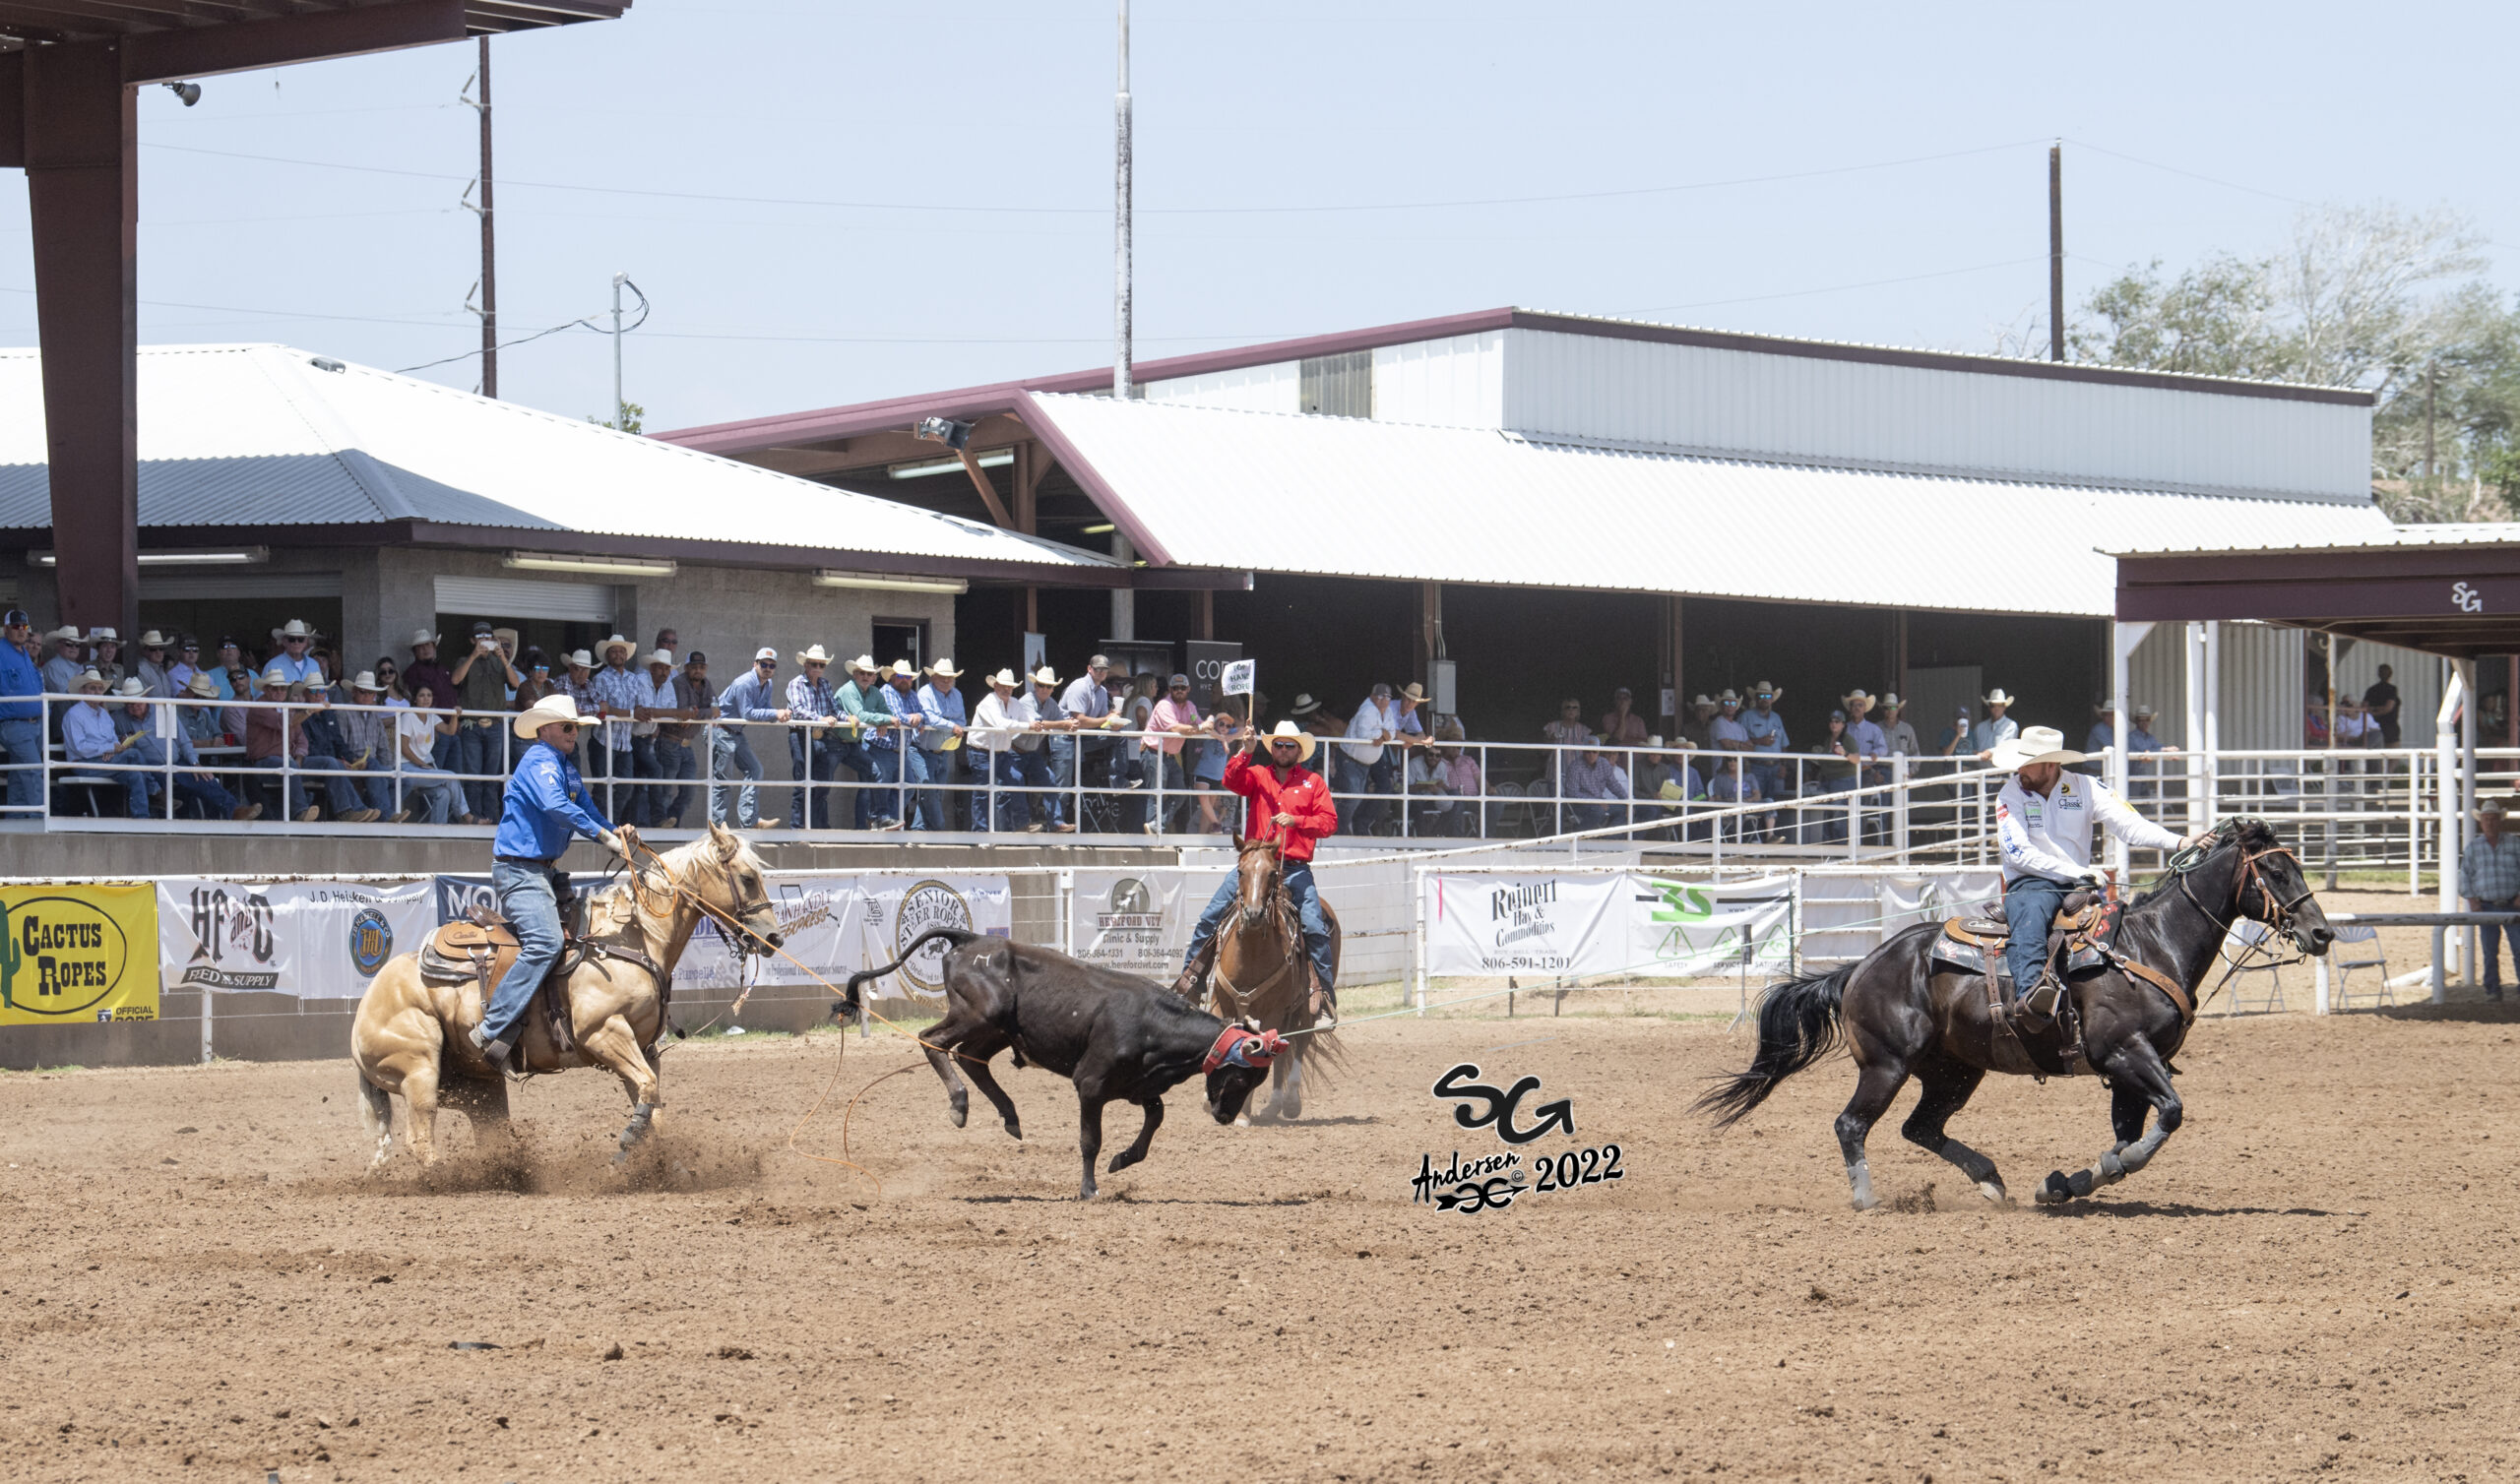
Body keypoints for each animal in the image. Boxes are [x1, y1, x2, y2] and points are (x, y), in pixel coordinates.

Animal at [345, 826, 776, 1163]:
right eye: (747, 877)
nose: (773, 937)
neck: (631, 938)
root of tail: (366, 1006)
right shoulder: (605, 1034)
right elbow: (648, 1093)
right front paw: (626, 1146)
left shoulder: (645, 1047)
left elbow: (653, 1100)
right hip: (420, 1072)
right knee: (421, 1141)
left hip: (476, 1085)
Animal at [1199, 831, 1340, 1123]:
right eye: (1240, 871)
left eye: (1272, 873)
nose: (1254, 914)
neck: (1251, 956)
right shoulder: (1221, 1003)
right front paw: (1209, 1098)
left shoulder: (1272, 1011)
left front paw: (1242, 1113)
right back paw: (1273, 1105)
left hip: (1304, 1008)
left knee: (1300, 1042)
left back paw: (1290, 1102)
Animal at [1703, 816, 2328, 1208]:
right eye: (2275, 873)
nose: (2322, 933)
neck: (2150, 944)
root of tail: (1859, 967)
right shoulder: (2126, 1053)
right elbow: (2169, 1115)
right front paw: (2097, 1174)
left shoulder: (2128, 1070)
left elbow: (2128, 1135)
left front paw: (2067, 1183)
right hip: (1887, 1065)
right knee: (1851, 1124)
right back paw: (1866, 1198)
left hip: (1954, 1072)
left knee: (1920, 1127)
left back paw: (1990, 1181)